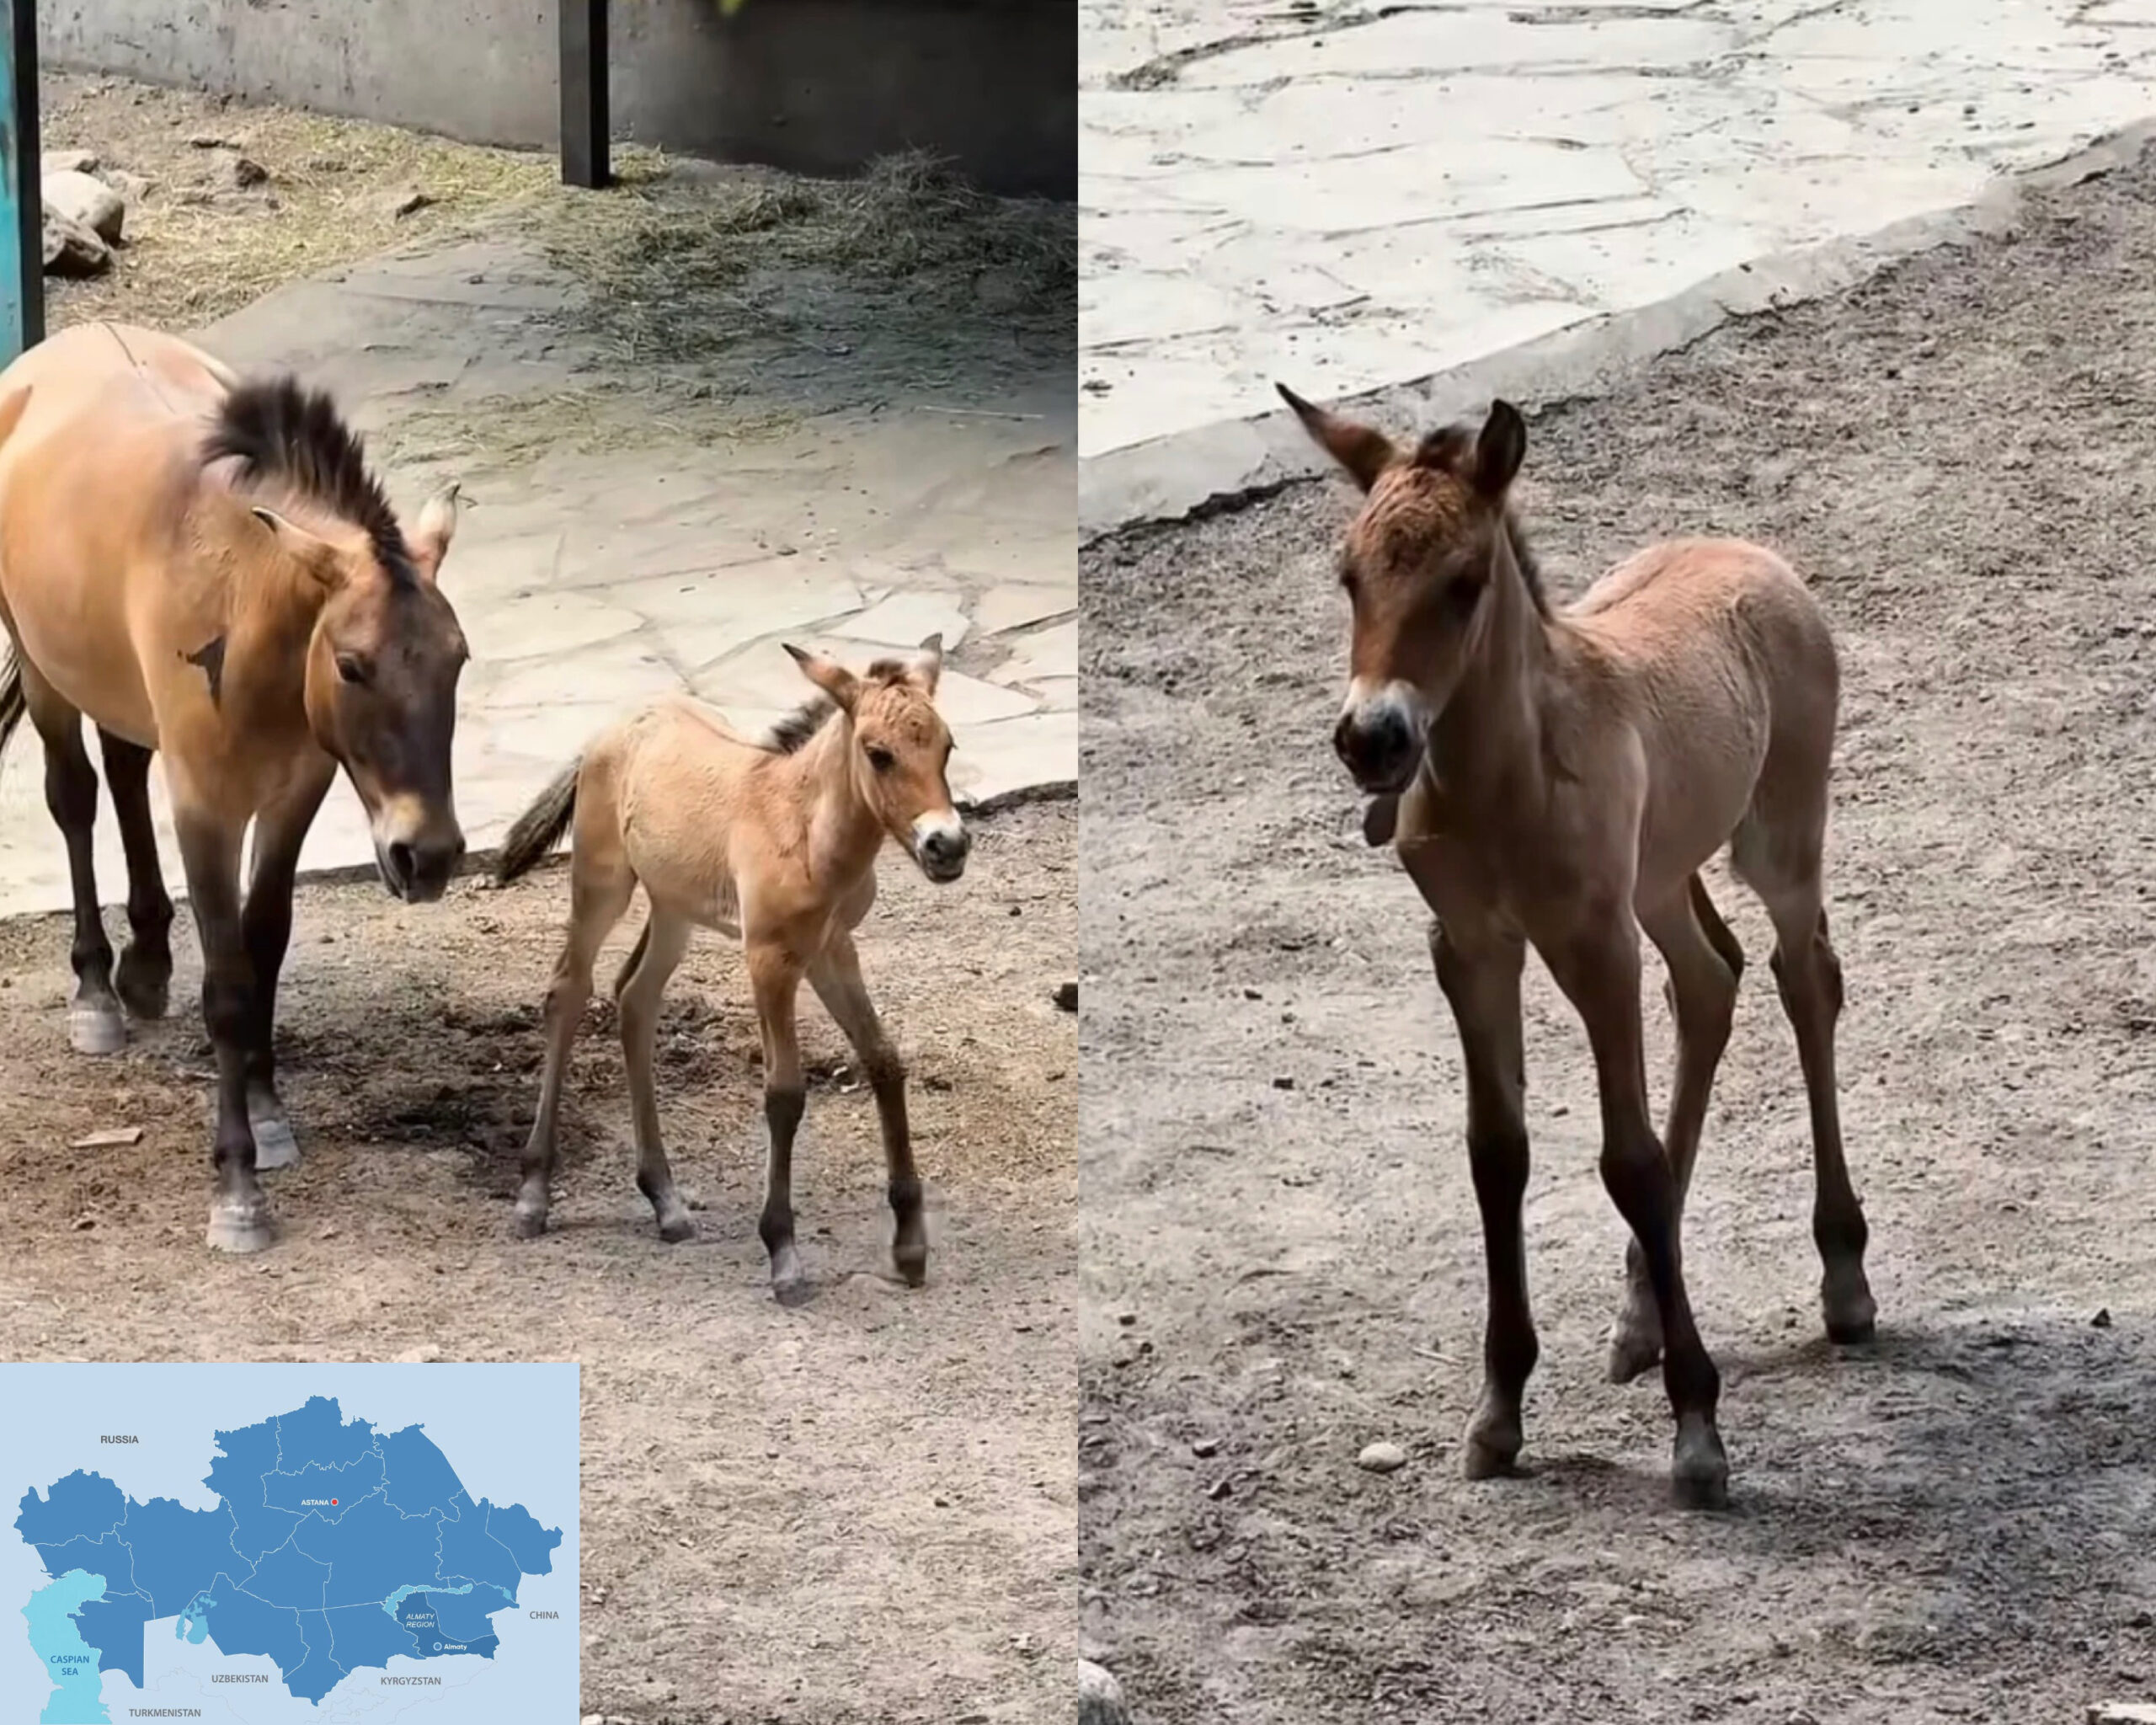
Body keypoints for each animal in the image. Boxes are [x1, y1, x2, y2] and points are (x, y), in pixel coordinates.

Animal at [0, 322, 468, 1255]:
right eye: (352, 665)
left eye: (459, 657)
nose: (427, 856)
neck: (242, 595)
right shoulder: (208, 810)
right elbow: (227, 983)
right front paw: (238, 1187)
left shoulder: (293, 796)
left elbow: (266, 947)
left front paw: (269, 1110)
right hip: (43, 674)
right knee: (76, 798)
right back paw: (98, 992)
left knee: (124, 770)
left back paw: (145, 966)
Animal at [491, 636, 968, 1302]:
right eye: (879, 754)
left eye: (947, 747)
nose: (947, 847)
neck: (803, 827)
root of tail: (611, 729)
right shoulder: (769, 957)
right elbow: (785, 1093)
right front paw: (784, 1255)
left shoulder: (833, 948)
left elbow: (883, 1060)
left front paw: (910, 1248)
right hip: (601, 884)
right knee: (568, 990)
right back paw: (534, 1195)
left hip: (674, 906)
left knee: (635, 996)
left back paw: (665, 1201)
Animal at [1280, 385, 1876, 1509]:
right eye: (1347, 575)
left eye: (1464, 582)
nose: (1371, 739)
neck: (1505, 783)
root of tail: (1753, 555)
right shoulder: (1470, 945)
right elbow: (1495, 1152)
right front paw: (1497, 1412)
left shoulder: (1594, 943)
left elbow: (1626, 1159)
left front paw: (1697, 1430)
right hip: (1657, 876)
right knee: (1710, 979)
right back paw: (1640, 1312)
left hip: (1778, 834)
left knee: (1803, 976)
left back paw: (1845, 1277)